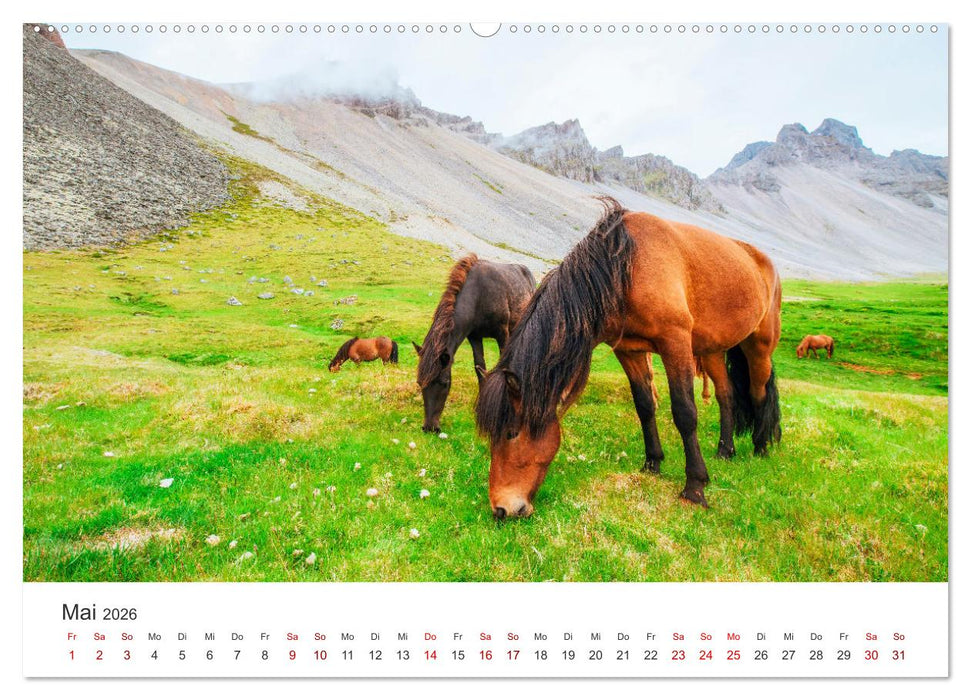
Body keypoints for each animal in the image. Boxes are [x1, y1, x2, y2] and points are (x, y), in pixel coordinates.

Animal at [414, 254, 536, 433]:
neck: (479, 296)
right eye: (419, 382)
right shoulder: (474, 337)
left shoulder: (502, 333)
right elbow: (479, 367)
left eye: (444, 383)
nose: (430, 427)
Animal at [475, 197, 782, 518]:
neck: (625, 268)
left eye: (511, 433)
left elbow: (685, 413)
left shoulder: (675, 343)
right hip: (712, 351)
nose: (501, 508)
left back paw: (760, 448)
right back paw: (726, 450)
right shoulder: (629, 351)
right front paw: (652, 464)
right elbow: (645, 407)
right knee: (726, 395)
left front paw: (695, 487)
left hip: (759, 346)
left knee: (759, 393)